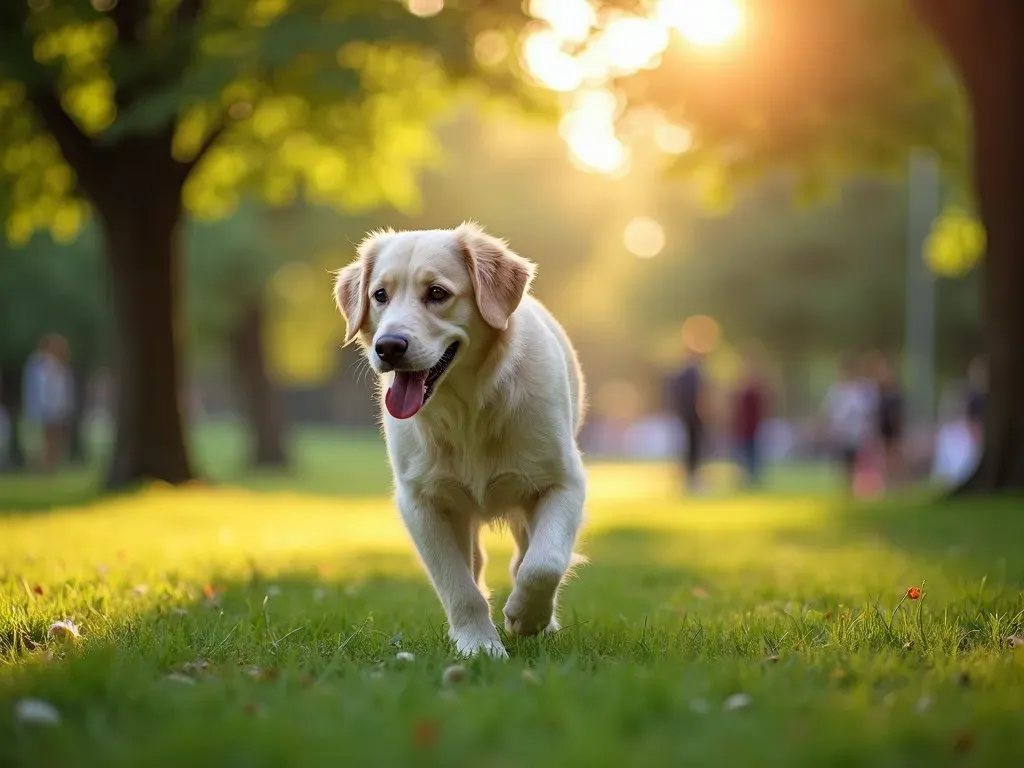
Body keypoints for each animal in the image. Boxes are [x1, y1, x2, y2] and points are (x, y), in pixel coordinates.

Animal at [329, 221, 585, 655]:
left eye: (437, 293)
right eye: (380, 295)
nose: (388, 347)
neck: (468, 410)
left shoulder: (564, 482)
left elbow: (544, 562)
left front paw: (525, 616)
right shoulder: (422, 501)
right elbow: (459, 587)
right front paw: (480, 645)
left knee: (527, 554)